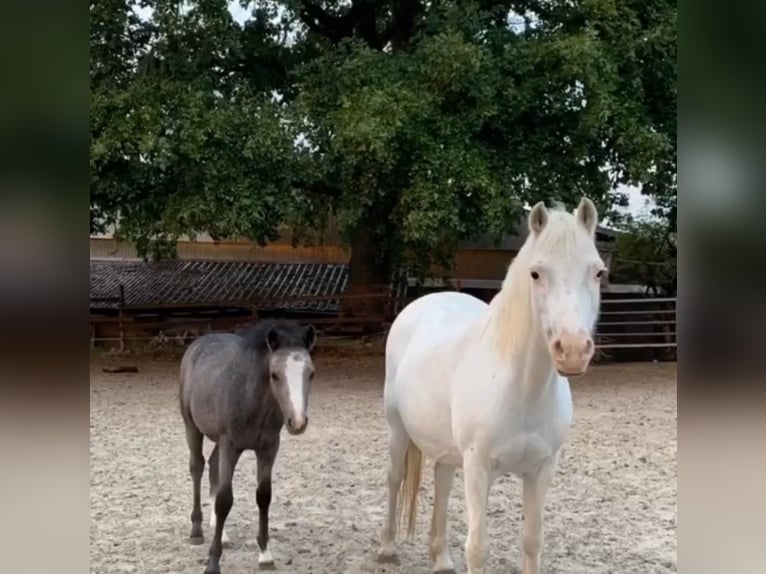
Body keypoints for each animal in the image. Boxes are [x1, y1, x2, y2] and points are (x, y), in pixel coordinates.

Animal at [179, 319, 317, 574]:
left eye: (310, 373)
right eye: (274, 375)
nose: (297, 422)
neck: (252, 399)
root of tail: (198, 343)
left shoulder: (268, 448)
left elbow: (263, 496)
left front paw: (265, 555)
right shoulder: (230, 445)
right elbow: (225, 500)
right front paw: (213, 563)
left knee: (212, 464)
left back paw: (221, 533)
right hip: (192, 426)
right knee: (197, 467)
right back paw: (197, 530)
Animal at [377, 198, 606, 574]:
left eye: (598, 272)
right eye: (535, 273)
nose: (572, 350)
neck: (522, 390)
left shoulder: (542, 470)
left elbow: (531, 542)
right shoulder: (478, 468)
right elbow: (477, 548)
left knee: (441, 480)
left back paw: (441, 559)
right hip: (397, 430)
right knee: (395, 478)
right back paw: (386, 548)